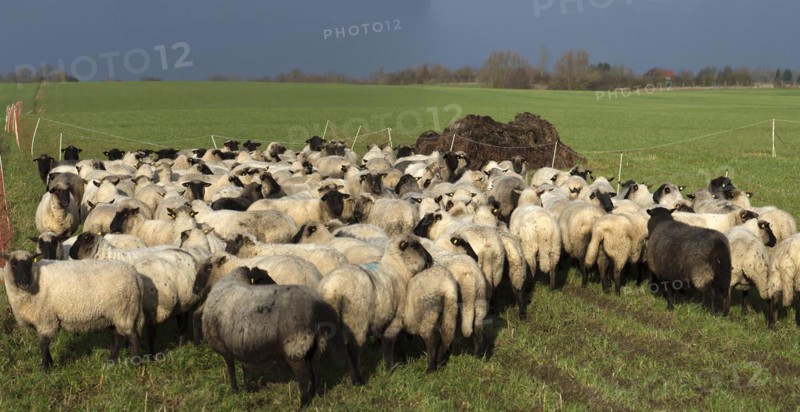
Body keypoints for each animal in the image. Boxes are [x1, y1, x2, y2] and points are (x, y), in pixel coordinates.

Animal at [1, 250, 144, 370]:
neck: (36, 280)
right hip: (115, 313)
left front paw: (45, 368)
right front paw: (50, 364)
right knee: (118, 336)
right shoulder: (43, 320)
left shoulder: (46, 319)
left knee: (132, 335)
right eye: (14, 264)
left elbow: (43, 344)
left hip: (125, 310)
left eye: (29, 263)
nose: (25, 281)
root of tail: (134, 274)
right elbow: (44, 343)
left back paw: (136, 364)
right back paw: (110, 362)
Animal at [198, 266, 346, 407]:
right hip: (315, 345)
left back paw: (303, 404)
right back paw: (313, 394)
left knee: (303, 377)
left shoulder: (224, 347)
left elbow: (231, 370)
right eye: (263, 279)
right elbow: (245, 368)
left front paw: (235, 390)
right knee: (316, 372)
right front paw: (246, 389)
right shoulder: (242, 345)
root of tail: (317, 307)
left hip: (295, 345)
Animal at [317, 235, 433, 383]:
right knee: (353, 349)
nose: (431, 260)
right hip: (356, 320)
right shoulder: (395, 319)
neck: (398, 269)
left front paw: (401, 363)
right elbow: (391, 342)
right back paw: (358, 381)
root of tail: (331, 288)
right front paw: (390, 369)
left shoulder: (382, 319)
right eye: (415, 246)